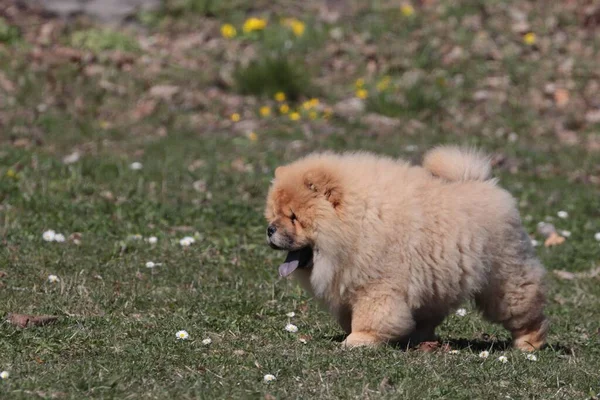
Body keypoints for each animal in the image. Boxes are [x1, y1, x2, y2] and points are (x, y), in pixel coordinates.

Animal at [266, 146, 548, 350]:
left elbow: (370, 316)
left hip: (504, 277)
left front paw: (359, 340)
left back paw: (529, 343)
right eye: (274, 214)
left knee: (525, 308)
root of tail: (486, 183)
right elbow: (351, 314)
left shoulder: (377, 285)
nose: (270, 229)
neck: (357, 222)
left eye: (294, 217)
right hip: (438, 280)